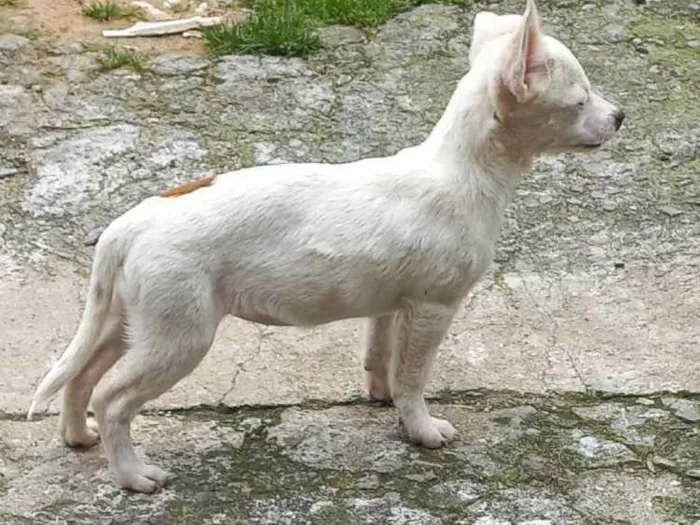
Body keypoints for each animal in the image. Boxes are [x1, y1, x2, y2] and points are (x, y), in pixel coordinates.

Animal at [28, 0, 623, 493]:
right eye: (579, 100)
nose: (621, 117)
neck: (464, 170)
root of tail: (131, 223)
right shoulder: (435, 307)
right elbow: (415, 374)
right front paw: (422, 429)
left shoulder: (393, 305)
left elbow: (382, 357)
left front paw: (383, 398)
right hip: (177, 336)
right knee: (111, 399)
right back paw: (132, 475)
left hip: (128, 321)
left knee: (79, 377)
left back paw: (78, 438)